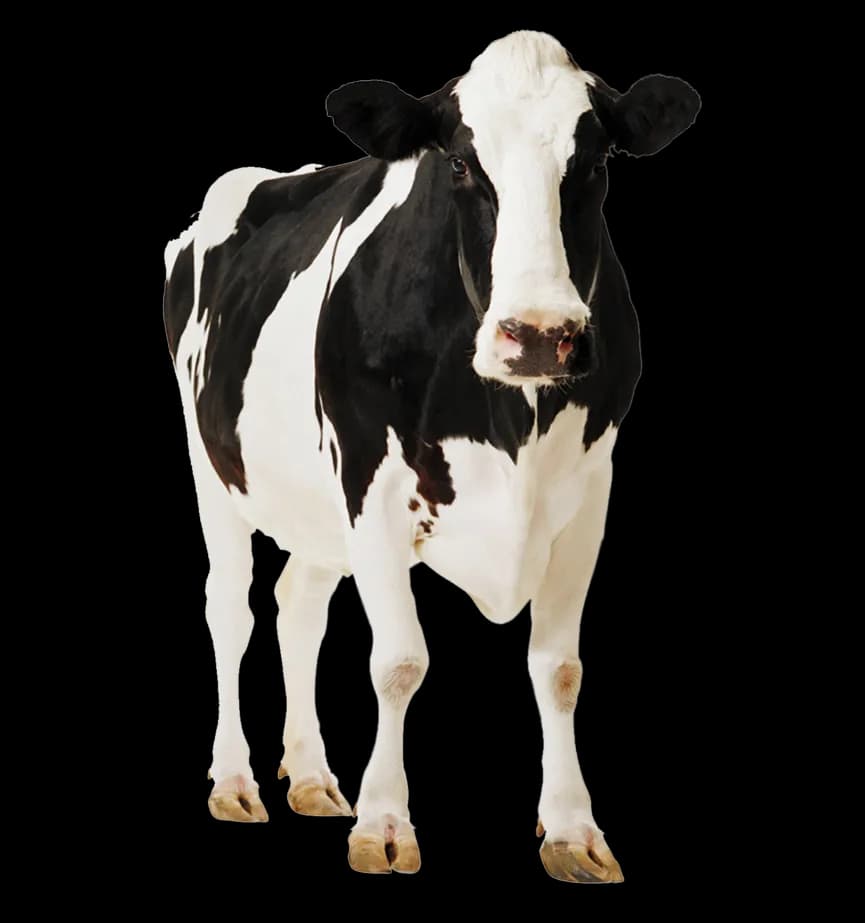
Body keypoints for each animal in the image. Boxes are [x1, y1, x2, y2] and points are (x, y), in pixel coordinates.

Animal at [163, 30, 699, 883]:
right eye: (457, 164)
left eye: (594, 162)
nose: (539, 334)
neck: (507, 416)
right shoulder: (370, 485)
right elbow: (398, 661)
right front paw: (384, 823)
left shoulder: (589, 494)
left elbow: (560, 667)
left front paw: (571, 829)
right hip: (210, 460)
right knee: (229, 606)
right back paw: (234, 779)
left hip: (317, 506)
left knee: (297, 603)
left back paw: (310, 775)